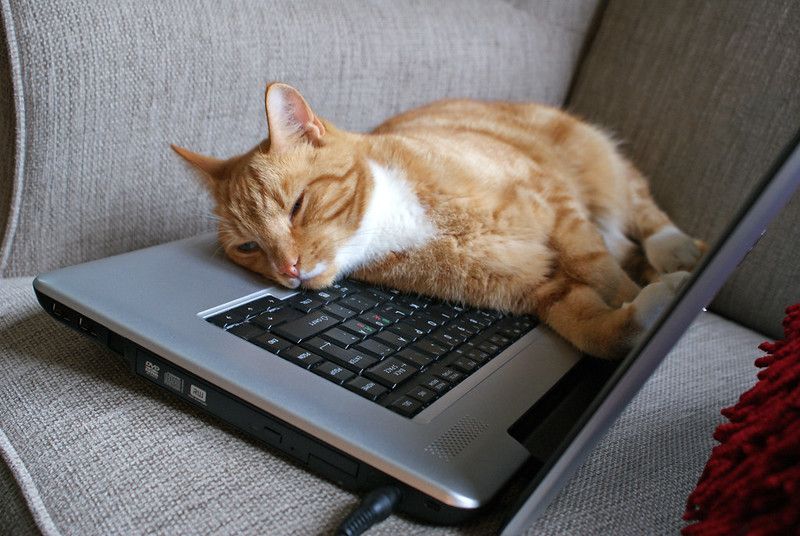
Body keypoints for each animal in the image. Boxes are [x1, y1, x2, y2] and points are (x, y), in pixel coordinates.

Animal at [172, 82, 704, 360]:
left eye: (297, 205)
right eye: (249, 248)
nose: (288, 270)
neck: (398, 219)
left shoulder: (553, 200)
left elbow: (600, 270)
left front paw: (647, 295)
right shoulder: (539, 290)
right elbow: (598, 332)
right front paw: (648, 311)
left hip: (592, 163)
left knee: (642, 214)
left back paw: (679, 251)